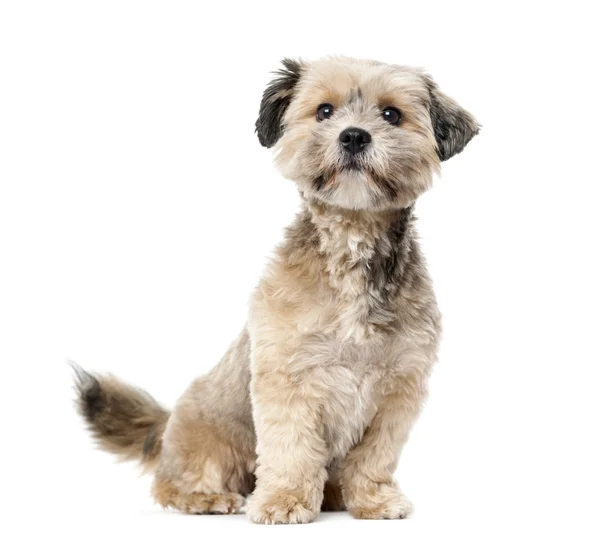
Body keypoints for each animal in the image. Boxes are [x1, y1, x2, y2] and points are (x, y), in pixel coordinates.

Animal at [72, 55, 480, 524]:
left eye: (391, 114)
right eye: (324, 111)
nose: (354, 135)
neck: (351, 243)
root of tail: (168, 421)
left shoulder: (398, 390)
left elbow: (374, 456)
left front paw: (374, 500)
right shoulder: (289, 379)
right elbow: (292, 448)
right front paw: (285, 500)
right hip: (211, 440)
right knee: (171, 483)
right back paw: (205, 498)